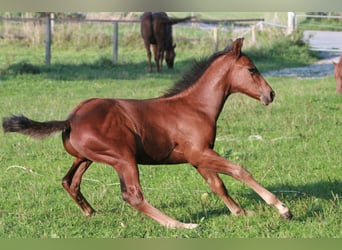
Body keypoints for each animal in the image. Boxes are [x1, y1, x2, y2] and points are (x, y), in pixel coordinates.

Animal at [2, 37, 292, 229]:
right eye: (251, 69)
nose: (271, 94)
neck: (196, 107)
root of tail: (71, 119)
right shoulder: (200, 153)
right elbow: (239, 170)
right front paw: (281, 208)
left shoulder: (197, 157)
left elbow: (217, 184)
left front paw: (240, 212)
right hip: (123, 158)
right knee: (133, 196)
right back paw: (180, 225)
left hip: (86, 157)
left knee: (69, 182)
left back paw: (91, 212)